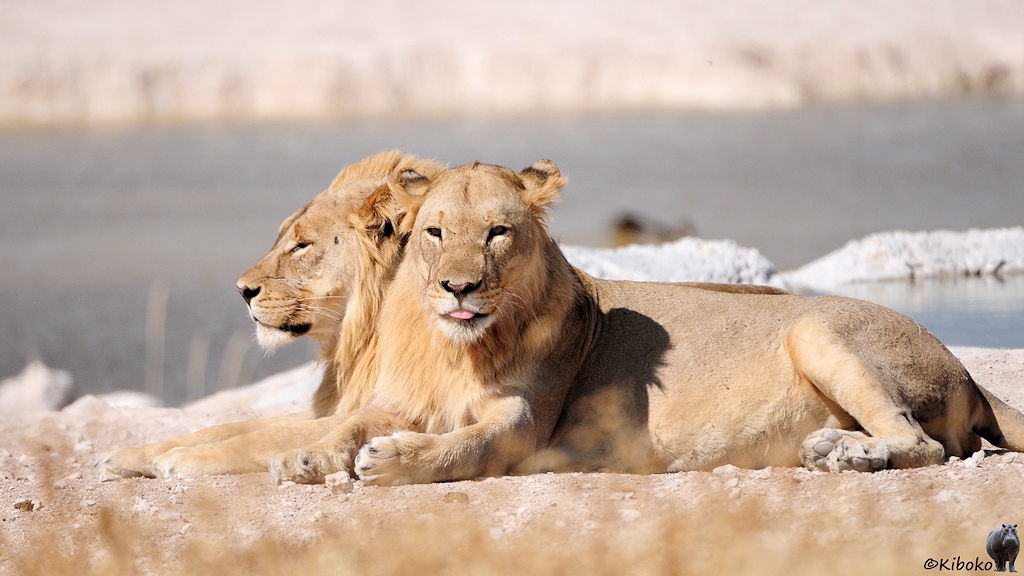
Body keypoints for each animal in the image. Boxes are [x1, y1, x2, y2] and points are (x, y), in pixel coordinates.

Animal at [99, 151, 445, 479]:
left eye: (301, 246)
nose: (242, 291)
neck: (359, 339)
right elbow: (228, 426)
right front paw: (132, 454)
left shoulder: (407, 409)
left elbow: (271, 435)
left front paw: (182, 457)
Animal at [348, 159, 1024, 486]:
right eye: (435, 233)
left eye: (497, 232)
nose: (457, 288)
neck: (454, 348)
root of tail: (962, 365)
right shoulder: (404, 402)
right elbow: (343, 426)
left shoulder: (526, 426)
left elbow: (467, 443)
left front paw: (388, 461)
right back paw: (832, 447)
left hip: (815, 329)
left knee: (925, 444)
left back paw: (850, 457)